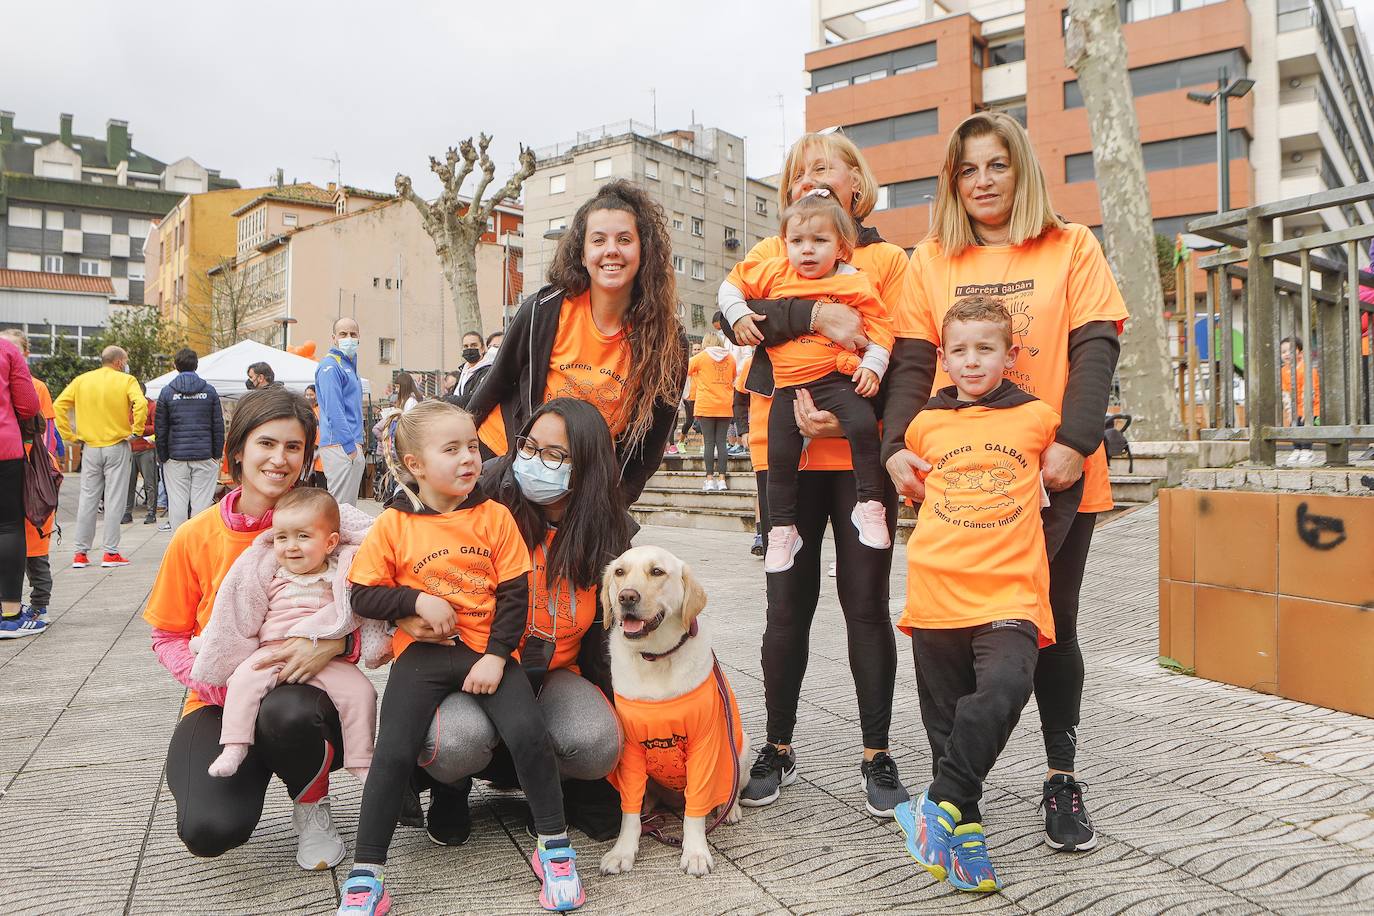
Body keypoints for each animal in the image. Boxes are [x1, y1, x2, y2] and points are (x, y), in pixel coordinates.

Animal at [596, 549, 747, 878]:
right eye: (620, 572)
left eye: (657, 572)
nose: (627, 597)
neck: (654, 658)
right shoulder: (630, 749)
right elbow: (628, 811)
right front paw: (622, 851)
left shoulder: (704, 744)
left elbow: (696, 808)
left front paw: (695, 853)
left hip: (741, 752)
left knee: (728, 790)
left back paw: (729, 809)